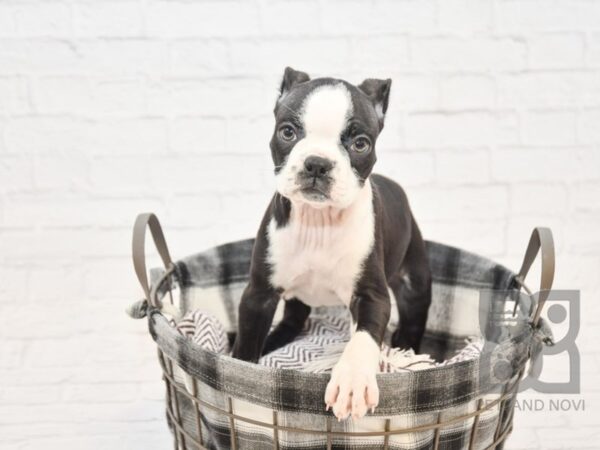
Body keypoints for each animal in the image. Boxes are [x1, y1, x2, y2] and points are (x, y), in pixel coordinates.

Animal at [231, 67, 432, 422]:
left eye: (360, 143)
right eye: (287, 132)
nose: (317, 163)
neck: (318, 221)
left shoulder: (372, 296)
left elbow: (363, 338)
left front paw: (352, 382)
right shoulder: (258, 295)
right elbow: (247, 343)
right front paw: (244, 373)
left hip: (414, 281)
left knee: (412, 317)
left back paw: (405, 346)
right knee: (294, 318)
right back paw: (275, 339)